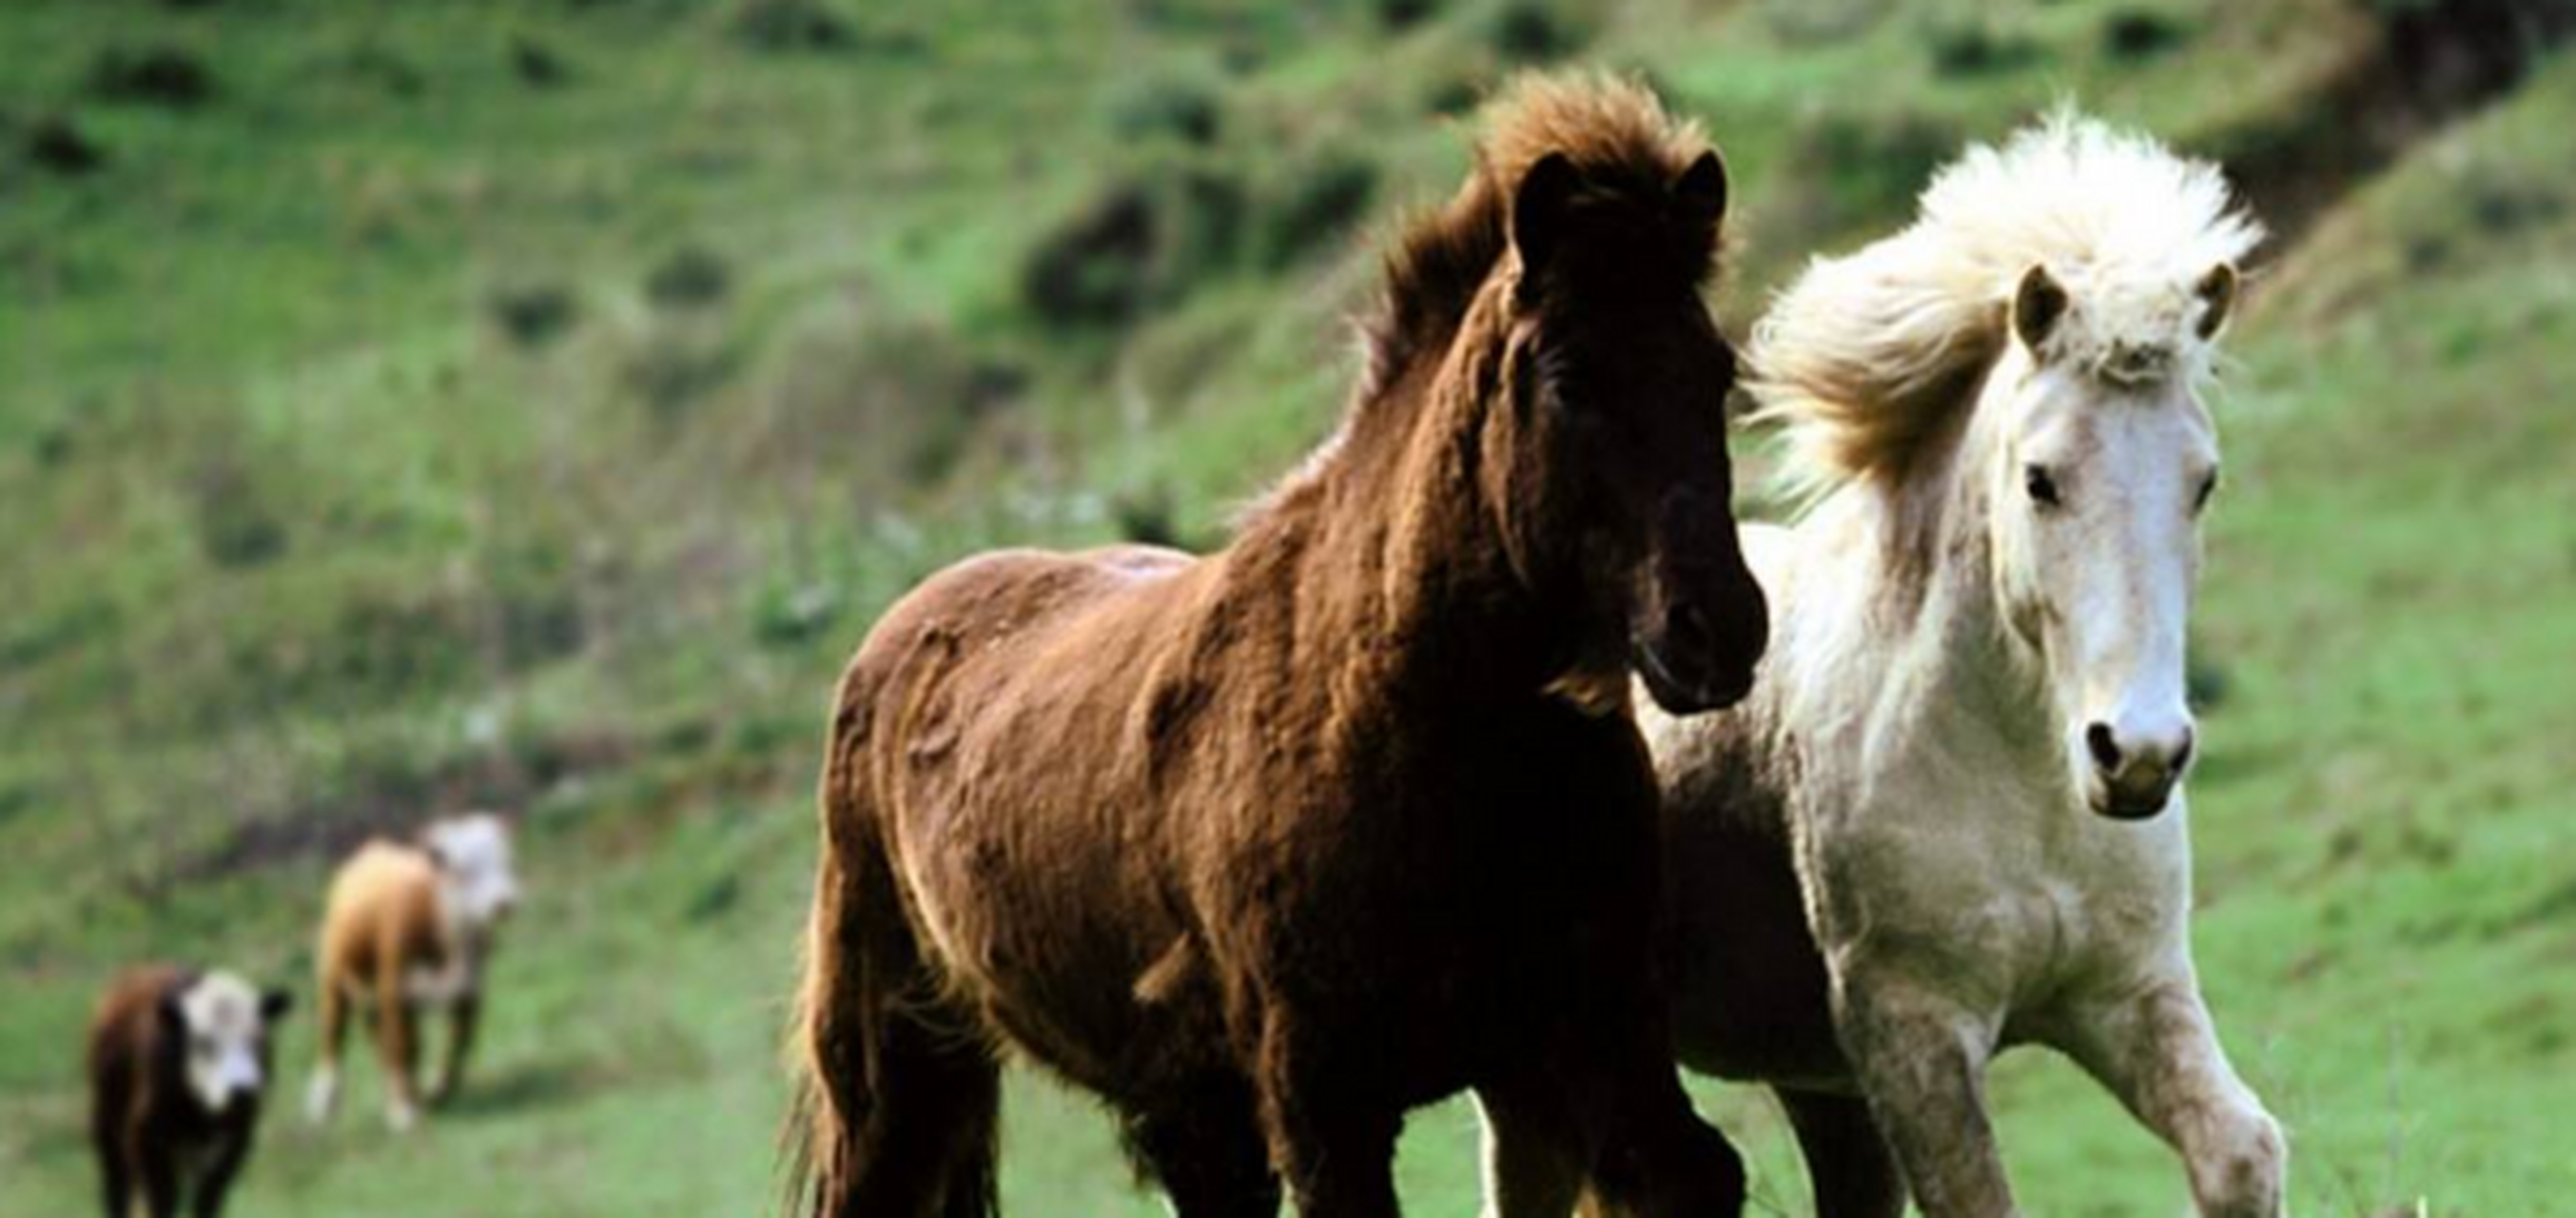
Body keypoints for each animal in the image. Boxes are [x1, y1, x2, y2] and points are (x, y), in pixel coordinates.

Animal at [785, 74, 1769, 1218]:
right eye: (1568, 377)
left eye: (1714, 368)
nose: (1718, 627)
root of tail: (902, 631)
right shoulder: (1328, 1106)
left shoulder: (1598, 1044)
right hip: (899, 1075)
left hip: (1191, 1113)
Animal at [1483, 113, 2282, 1217]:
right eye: (2040, 479)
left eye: (2201, 480)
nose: (2137, 755)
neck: (2019, 779)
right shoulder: (1915, 1030)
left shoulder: (2124, 993)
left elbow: (2242, 1151)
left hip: (1813, 1091)